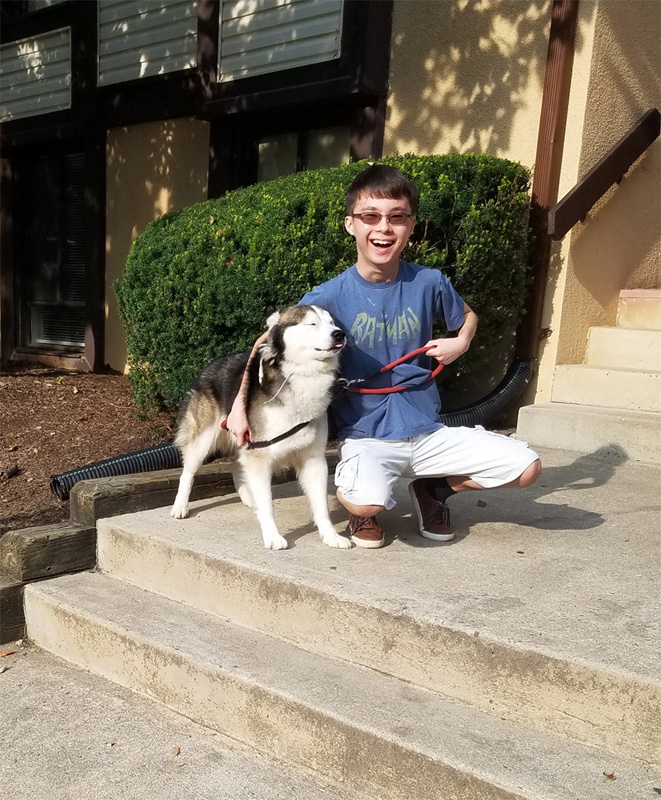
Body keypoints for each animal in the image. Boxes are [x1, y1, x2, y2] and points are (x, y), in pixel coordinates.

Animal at [169, 306, 350, 552]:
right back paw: (180, 506)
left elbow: (321, 504)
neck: (300, 376)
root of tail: (211, 362)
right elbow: (267, 504)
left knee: (236, 463)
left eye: (332, 322)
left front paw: (330, 535)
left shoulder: (313, 459)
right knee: (188, 471)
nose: (339, 334)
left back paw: (248, 496)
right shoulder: (260, 455)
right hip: (204, 439)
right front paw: (272, 535)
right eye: (312, 324)